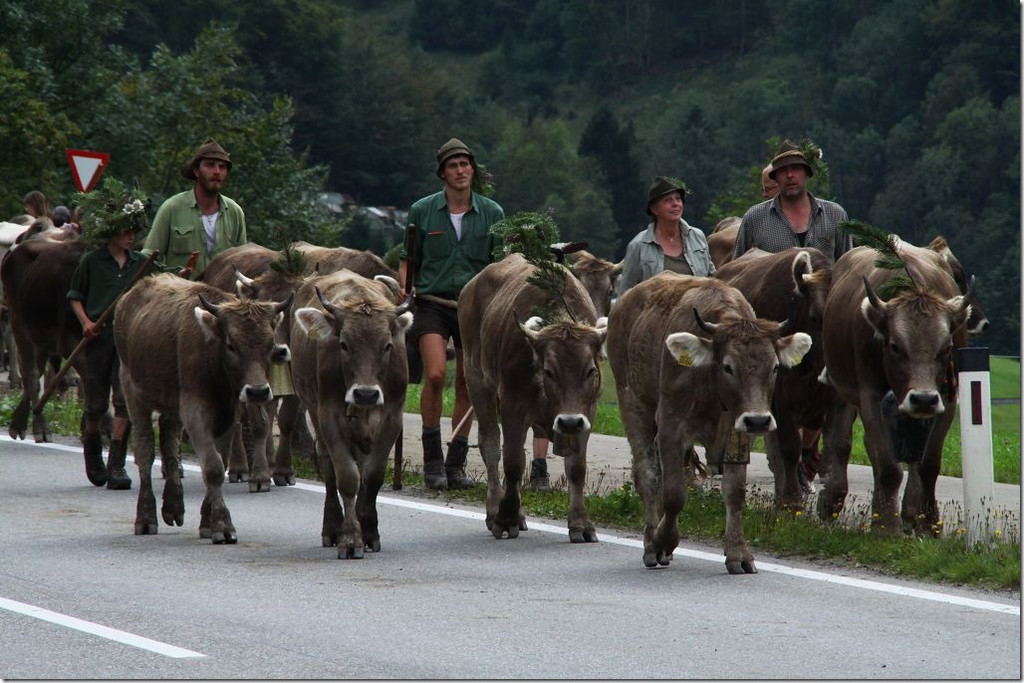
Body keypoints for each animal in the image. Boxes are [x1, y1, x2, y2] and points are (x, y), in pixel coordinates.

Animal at [114, 273, 292, 542]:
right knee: (144, 451)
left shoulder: (227, 415)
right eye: (231, 345)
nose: (258, 391)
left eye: (270, 344)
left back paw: (173, 506)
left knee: (169, 442)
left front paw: (207, 521)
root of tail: (128, 299)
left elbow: (221, 461)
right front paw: (222, 524)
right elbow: (213, 467)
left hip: (171, 406)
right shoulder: (195, 412)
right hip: (135, 396)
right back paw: (146, 518)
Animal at [289, 269, 411, 558]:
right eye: (343, 344)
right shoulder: (329, 415)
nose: (365, 394)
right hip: (314, 411)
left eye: (387, 345)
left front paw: (370, 532)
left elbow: (372, 475)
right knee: (328, 467)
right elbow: (346, 476)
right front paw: (351, 538)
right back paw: (332, 527)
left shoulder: (392, 416)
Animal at [458, 253, 609, 542]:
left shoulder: (587, 413)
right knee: (490, 445)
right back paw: (494, 510)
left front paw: (581, 524)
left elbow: (577, 468)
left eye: (590, 370)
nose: (569, 422)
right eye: (549, 371)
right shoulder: (512, 406)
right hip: (476, 380)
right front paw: (506, 518)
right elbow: (513, 462)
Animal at [606, 273, 810, 573]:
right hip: (632, 403)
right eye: (728, 367)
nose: (759, 420)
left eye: (774, 367)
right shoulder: (670, 427)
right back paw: (650, 543)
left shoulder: (740, 433)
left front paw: (738, 552)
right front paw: (662, 541)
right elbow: (674, 494)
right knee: (648, 475)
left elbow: (735, 492)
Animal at [817, 240, 972, 536]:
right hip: (841, 387)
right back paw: (833, 501)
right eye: (895, 346)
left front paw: (928, 524)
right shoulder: (870, 395)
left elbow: (928, 466)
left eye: (946, 347)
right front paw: (886, 525)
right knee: (843, 442)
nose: (922, 399)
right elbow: (888, 466)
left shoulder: (947, 399)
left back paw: (909, 513)